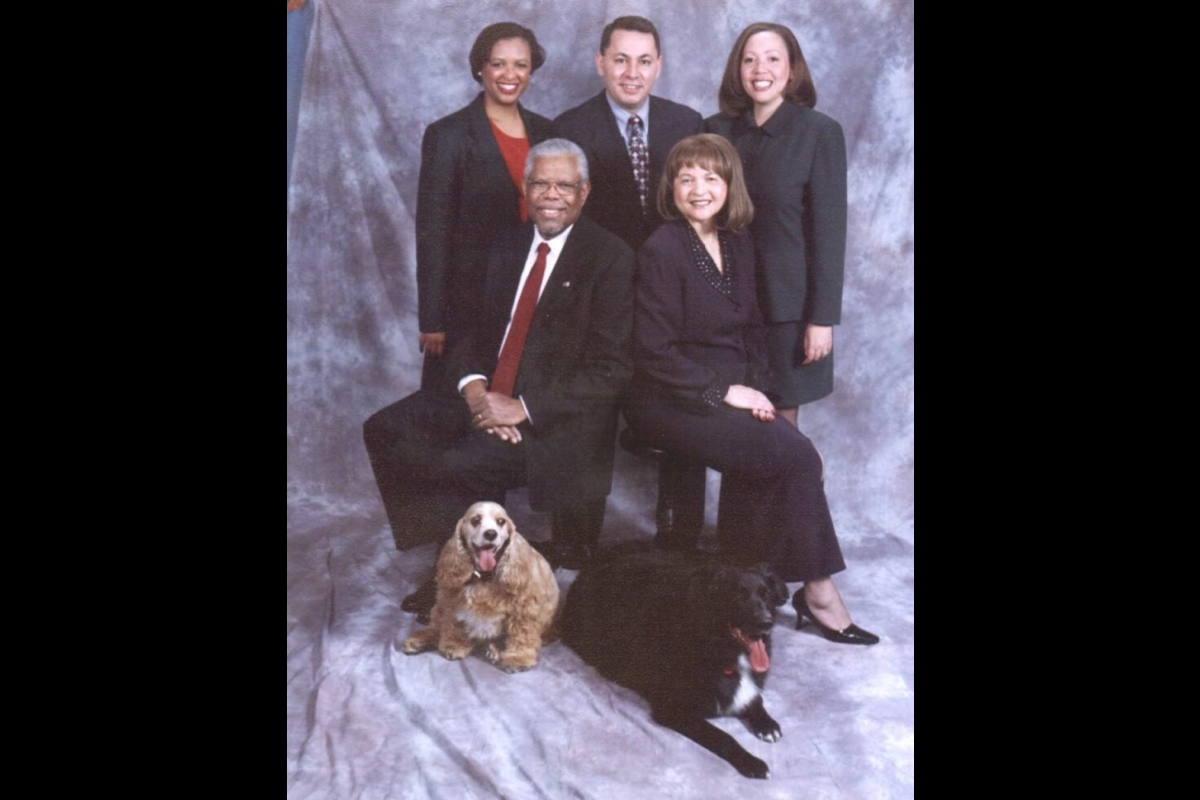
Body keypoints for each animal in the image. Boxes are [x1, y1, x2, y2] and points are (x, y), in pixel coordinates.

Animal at [564, 546, 792, 777]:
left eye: (766, 595)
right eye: (739, 596)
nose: (766, 623)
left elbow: (755, 699)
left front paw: (766, 723)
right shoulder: (673, 709)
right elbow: (722, 736)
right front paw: (751, 762)